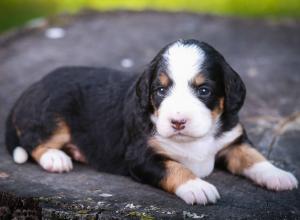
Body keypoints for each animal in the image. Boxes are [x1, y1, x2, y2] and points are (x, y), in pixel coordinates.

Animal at [5, 39, 298, 205]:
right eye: (160, 90)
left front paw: (277, 175)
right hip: (55, 114)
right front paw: (197, 186)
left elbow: (253, 156)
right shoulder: (142, 155)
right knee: (33, 141)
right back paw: (56, 158)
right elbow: (175, 168)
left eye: (204, 90)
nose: (178, 121)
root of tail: (33, 85)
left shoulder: (232, 139)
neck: (193, 141)